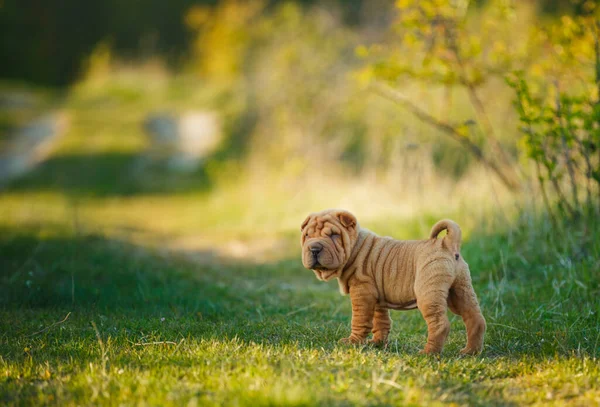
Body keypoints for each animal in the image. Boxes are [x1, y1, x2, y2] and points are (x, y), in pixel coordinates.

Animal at [300, 209, 488, 356]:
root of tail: (446, 243)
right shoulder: (376, 298)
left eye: (334, 235)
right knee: (475, 319)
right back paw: (470, 352)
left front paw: (353, 342)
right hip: (461, 291)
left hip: (428, 294)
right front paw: (377, 343)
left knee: (440, 324)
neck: (355, 248)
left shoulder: (362, 293)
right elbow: (381, 321)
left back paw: (428, 353)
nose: (314, 248)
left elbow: (360, 320)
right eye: (307, 235)